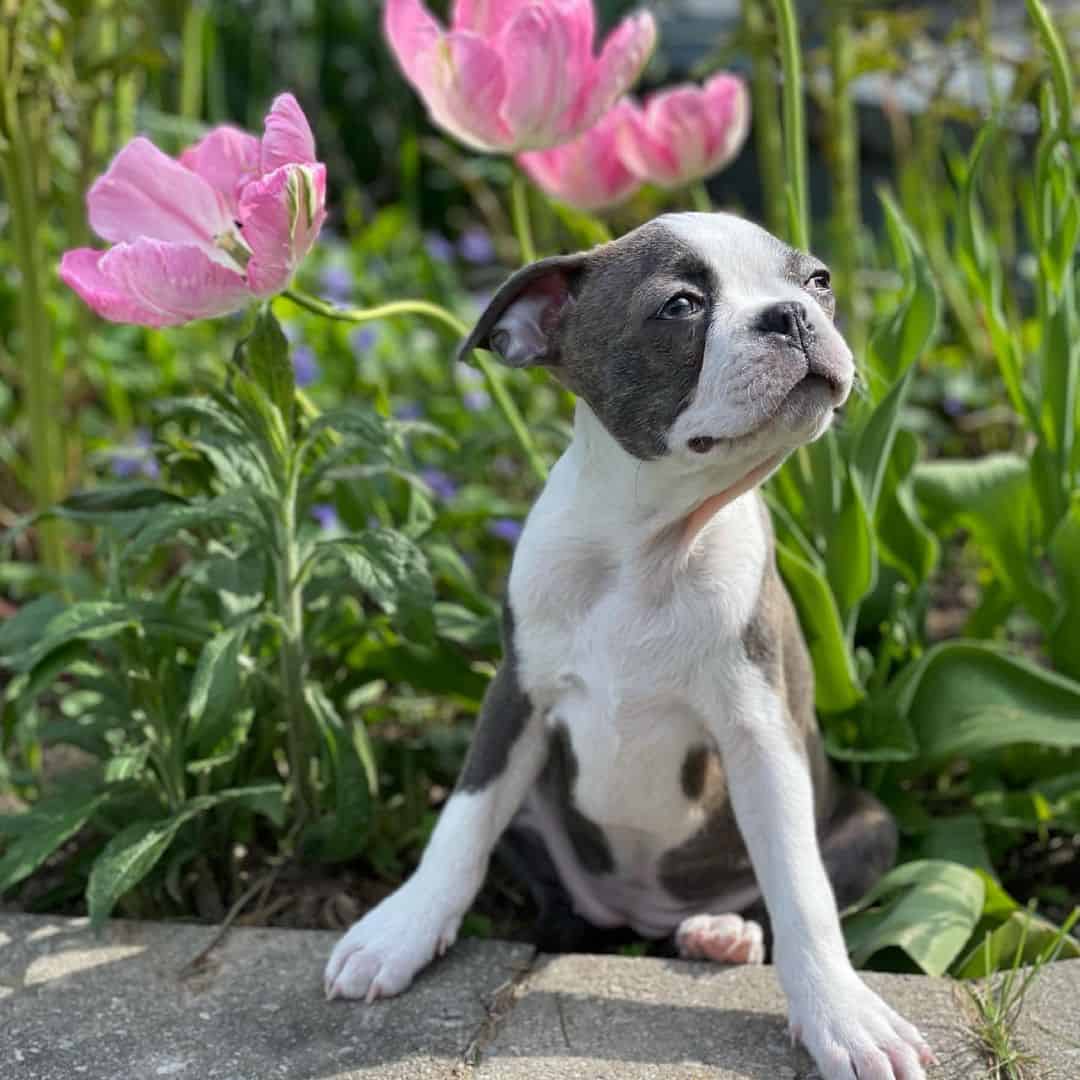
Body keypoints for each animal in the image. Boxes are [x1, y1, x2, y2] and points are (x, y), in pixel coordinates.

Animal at [324, 212, 933, 1080]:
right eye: (681, 305)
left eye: (816, 281)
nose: (792, 315)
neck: (648, 548)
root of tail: (643, 915)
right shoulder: (515, 694)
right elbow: (461, 826)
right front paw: (399, 931)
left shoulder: (761, 731)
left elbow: (800, 885)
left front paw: (843, 1016)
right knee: (556, 896)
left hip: (870, 825)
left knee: (780, 894)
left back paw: (723, 933)